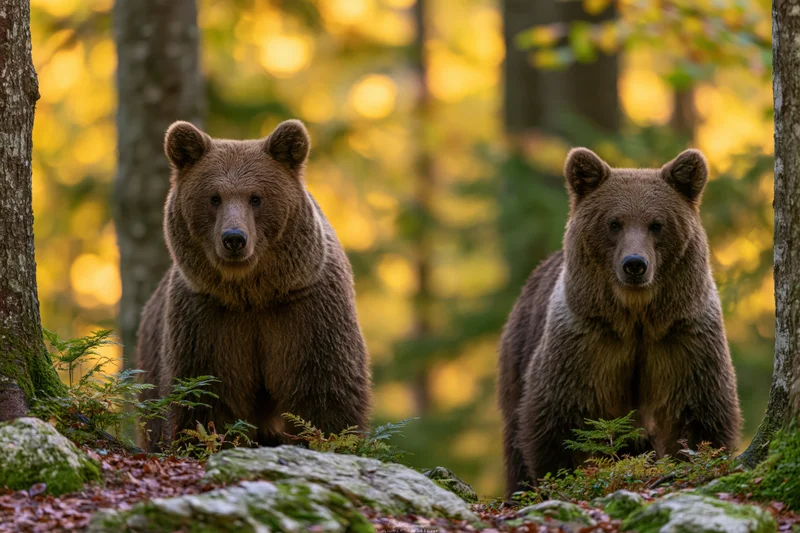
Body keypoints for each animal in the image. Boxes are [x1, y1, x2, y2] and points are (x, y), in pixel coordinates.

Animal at [136, 119, 372, 451]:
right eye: (214, 197)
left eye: (256, 197)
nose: (234, 238)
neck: (252, 293)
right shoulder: (209, 319)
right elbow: (207, 395)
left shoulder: (307, 310)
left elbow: (325, 390)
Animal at [497, 148, 741, 498]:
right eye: (614, 223)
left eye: (656, 224)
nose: (634, 264)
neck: (635, 317)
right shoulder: (587, 340)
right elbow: (559, 417)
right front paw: (562, 476)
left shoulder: (681, 336)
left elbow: (696, 410)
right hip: (518, 351)